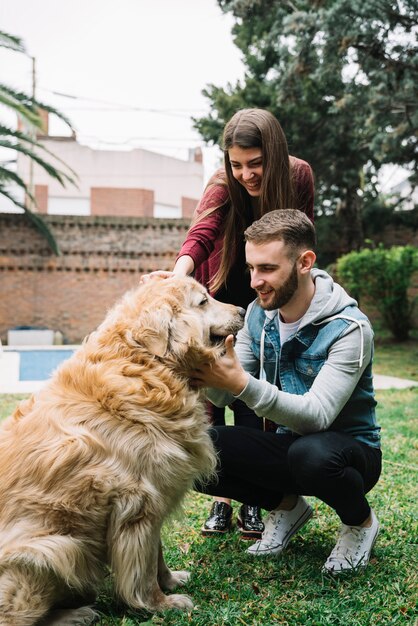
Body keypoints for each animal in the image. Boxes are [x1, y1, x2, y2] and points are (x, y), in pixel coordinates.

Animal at [0, 276, 245, 620]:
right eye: (203, 301)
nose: (243, 309)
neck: (147, 366)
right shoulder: (138, 504)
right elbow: (143, 568)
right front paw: (159, 603)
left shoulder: (156, 495)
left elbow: (157, 555)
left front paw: (170, 581)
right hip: (55, 549)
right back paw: (75, 615)